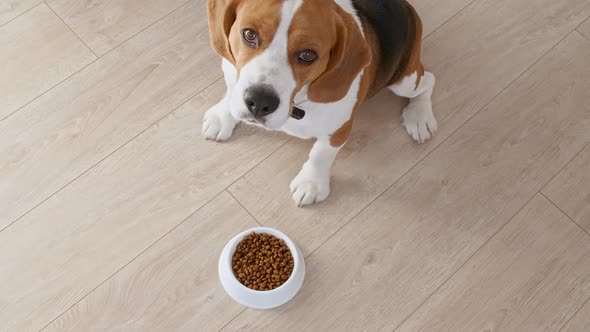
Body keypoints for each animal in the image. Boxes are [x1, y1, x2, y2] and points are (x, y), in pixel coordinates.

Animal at [206, 0, 438, 206]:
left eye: (308, 55)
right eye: (249, 34)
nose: (260, 101)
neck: (297, 104)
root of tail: (405, 6)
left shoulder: (339, 129)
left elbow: (321, 154)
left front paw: (311, 184)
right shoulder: (231, 70)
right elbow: (231, 90)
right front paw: (222, 116)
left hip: (404, 81)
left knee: (428, 79)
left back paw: (420, 117)